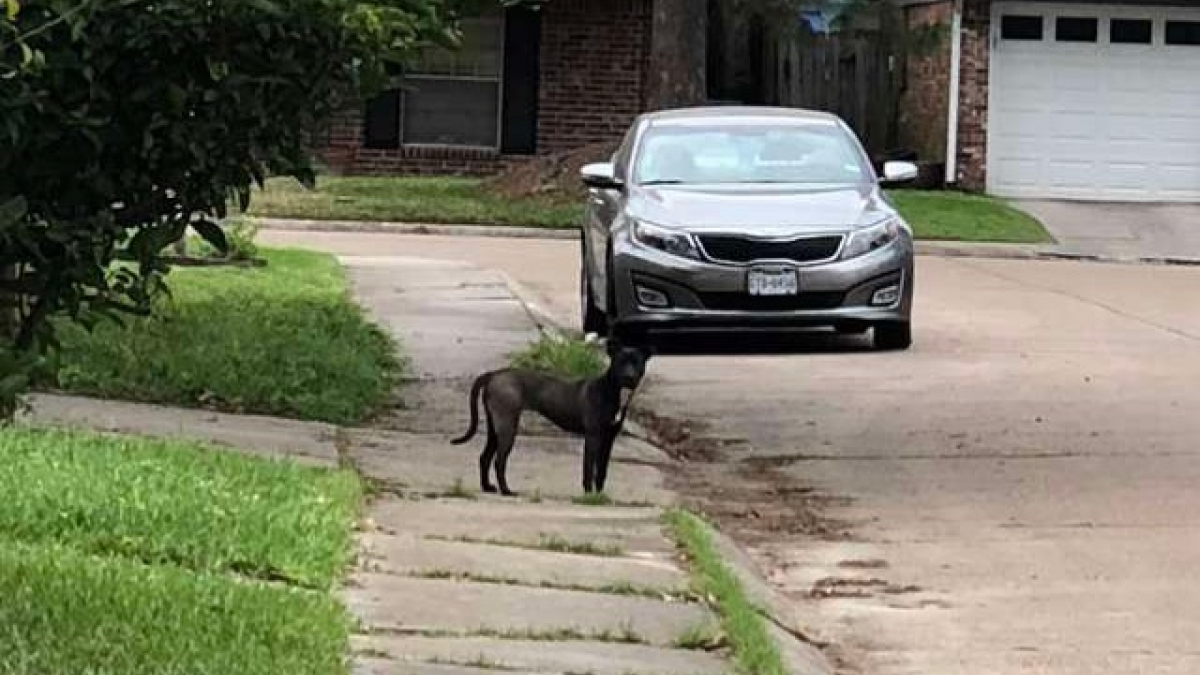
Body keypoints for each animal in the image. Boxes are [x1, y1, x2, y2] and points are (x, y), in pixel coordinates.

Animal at [451, 345, 648, 494]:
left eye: (636, 362)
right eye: (620, 362)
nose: (629, 376)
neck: (612, 391)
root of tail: (493, 374)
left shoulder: (608, 439)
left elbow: (601, 471)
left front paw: (599, 496)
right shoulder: (593, 437)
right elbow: (588, 468)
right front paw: (588, 495)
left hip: (494, 428)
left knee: (484, 457)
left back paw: (487, 487)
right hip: (507, 427)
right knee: (499, 461)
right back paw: (506, 490)